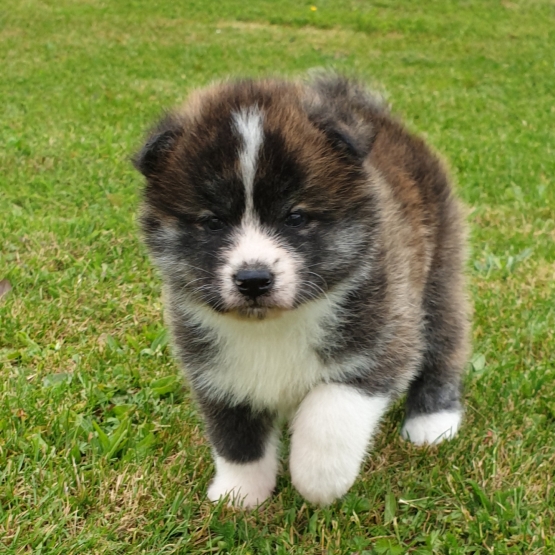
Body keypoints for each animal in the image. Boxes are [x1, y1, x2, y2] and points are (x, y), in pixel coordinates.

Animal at [134, 76, 470, 510]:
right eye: (212, 222)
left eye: (295, 216)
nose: (254, 279)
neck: (273, 326)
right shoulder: (216, 370)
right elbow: (235, 435)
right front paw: (240, 492)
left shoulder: (382, 337)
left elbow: (330, 411)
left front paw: (319, 478)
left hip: (438, 276)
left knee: (444, 344)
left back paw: (433, 421)